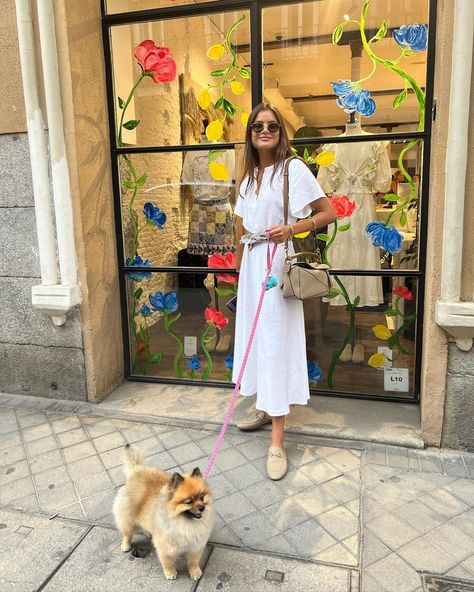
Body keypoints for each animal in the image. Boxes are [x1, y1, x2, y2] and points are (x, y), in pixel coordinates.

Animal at [113, 444, 213, 580]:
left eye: (202, 497)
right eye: (189, 501)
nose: (202, 507)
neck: (184, 522)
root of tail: (137, 470)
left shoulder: (195, 545)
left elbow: (193, 561)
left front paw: (195, 572)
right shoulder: (166, 548)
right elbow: (168, 562)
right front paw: (170, 573)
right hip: (128, 519)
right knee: (127, 533)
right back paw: (126, 545)